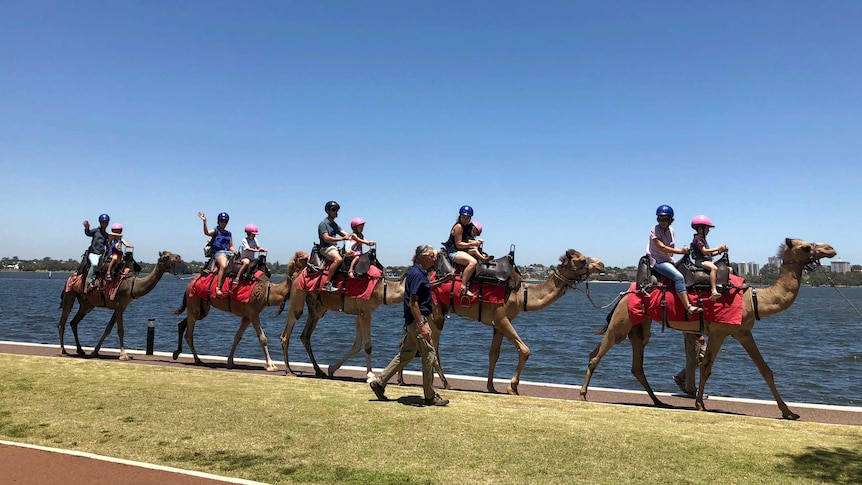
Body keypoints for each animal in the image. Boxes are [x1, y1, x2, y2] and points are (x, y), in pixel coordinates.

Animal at [58, 251, 186, 362]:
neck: (133, 286)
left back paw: (80, 350)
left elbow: (108, 329)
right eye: (166, 256)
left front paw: (95, 352)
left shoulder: (121, 307)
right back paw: (63, 351)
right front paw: (123, 355)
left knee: (74, 322)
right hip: (70, 294)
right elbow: (120, 330)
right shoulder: (119, 305)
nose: (179, 257)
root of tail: (70, 277)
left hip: (87, 304)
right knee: (62, 321)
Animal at [171, 251, 308, 368]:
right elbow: (263, 338)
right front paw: (271, 365)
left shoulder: (247, 316)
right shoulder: (253, 313)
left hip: (202, 307)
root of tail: (189, 284)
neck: (268, 291)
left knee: (183, 323)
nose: (310, 265)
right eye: (302, 258)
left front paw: (230, 362)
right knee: (189, 334)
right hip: (193, 300)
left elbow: (237, 337)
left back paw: (177, 353)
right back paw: (198, 360)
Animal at [426, 250, 604, 398]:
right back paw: (447, 384)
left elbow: (494, 354)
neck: (522, 295)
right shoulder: (502, 318)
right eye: (581, 260)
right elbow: (524, 350)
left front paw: (492, 387)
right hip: (436, 314)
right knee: (434, 348)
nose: (601, 264)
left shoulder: (498, 324)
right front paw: (512, 388)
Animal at [580, 236, 836, 418]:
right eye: (805, 247)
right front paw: (700, 404)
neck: (753, 299)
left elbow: (765, 369)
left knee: (635, 365)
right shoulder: (720, 332)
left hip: (640, 326)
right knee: (597, 355)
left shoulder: (743, 332)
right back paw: (582, 395)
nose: (831, 248)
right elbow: (706, 368)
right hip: (622, 322)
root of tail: (625, 292)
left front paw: (789, 412)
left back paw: (659, 401)